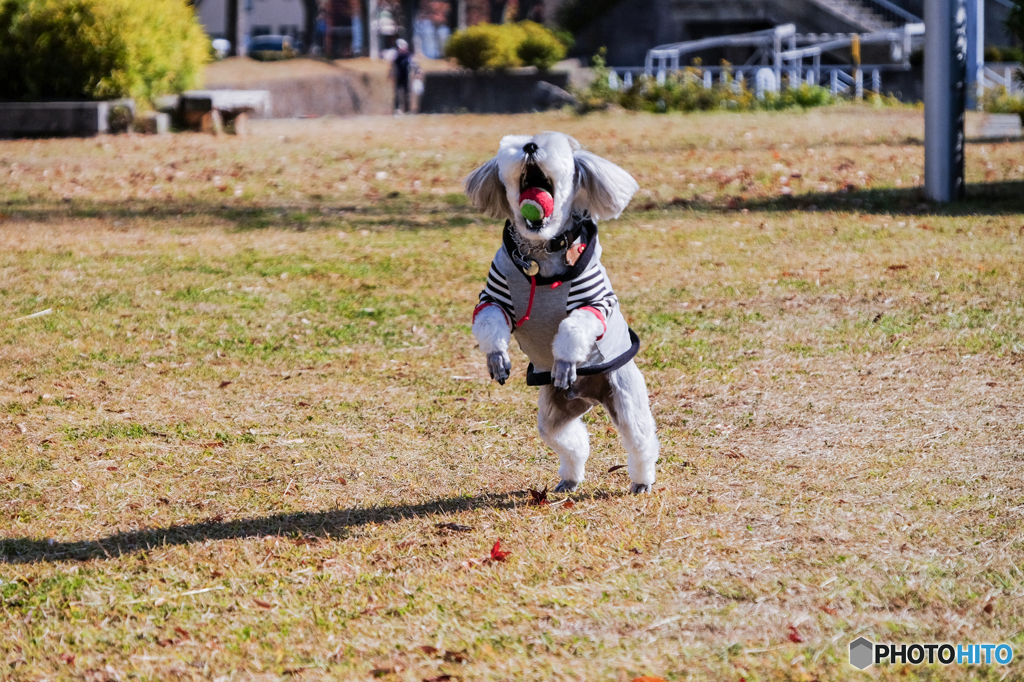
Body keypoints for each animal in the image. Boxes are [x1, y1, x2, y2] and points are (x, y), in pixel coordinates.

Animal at [468, 131, 659, 493]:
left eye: (546, 144)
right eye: (521, 142)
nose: (530, 146)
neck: (540, 253)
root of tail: (589, 395)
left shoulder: (593, 304)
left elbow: (575, 327)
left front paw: (566, 360)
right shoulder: (495, 297)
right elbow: (490, 319)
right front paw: (497, 357)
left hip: (624, 397)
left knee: (641, 440)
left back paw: (642, 481)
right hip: (555, 412)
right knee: (570, 441)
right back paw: (570, 479)